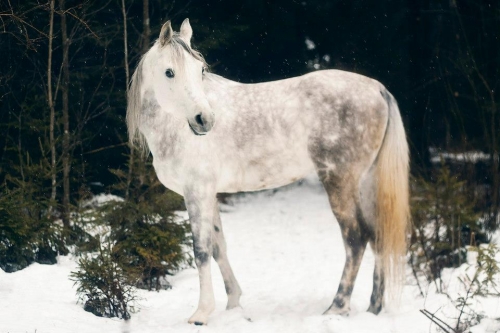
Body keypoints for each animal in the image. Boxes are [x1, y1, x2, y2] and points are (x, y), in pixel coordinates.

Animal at [126, 18, 410, 324]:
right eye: (169, 72)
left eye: (200, 70)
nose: (205, 120)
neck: (173, 126)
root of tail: (377, 89)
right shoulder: (209, 194)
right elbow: (218, 247)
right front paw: (234, 303)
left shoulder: (196, 193)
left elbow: (201, 251)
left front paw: (202, 313)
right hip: (367, 184)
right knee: (377, 236)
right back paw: (373, 308)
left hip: (339, 183)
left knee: (355, 239)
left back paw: (337, 307)